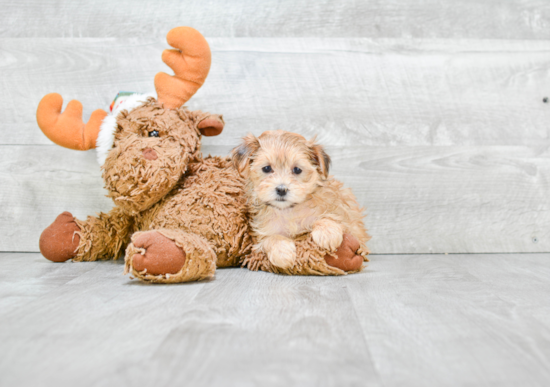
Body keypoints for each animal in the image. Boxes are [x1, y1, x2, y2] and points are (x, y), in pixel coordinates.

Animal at [233, 130, 370, 270]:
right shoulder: (260, 235)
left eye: (297, 170)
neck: (289, 210)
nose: (281, 189)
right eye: (266, 168)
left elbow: (330, 218)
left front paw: (327, 233)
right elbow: (270, 239)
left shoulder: (345, 217)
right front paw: (282, 253)